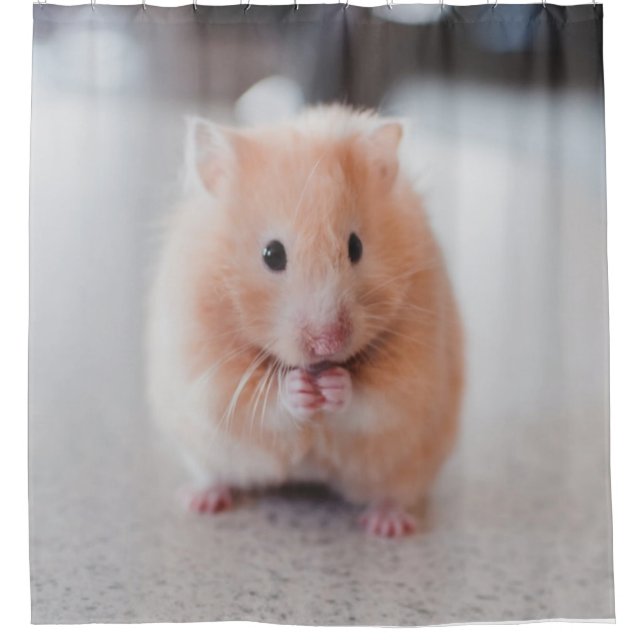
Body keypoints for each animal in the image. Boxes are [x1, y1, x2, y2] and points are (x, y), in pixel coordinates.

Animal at [146, 104, 463, 537]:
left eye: (355, 247)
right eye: (272, 254)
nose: (328, 343)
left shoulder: (412, 376)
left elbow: (373, 399)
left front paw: (334, 385)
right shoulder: (209, 373)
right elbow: (258, 404)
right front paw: (299, 389)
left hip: (411, 465)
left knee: (393, 492)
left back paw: (388, 525)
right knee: (215, 474)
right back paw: (201, 501)